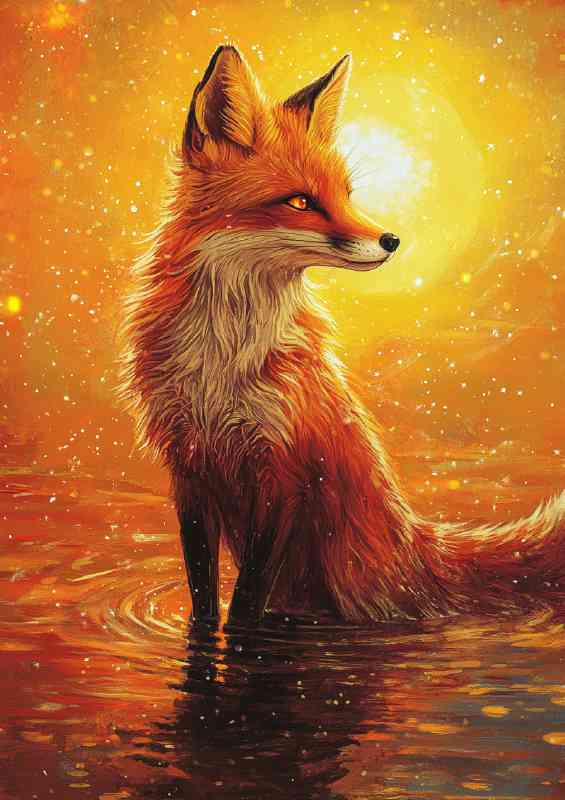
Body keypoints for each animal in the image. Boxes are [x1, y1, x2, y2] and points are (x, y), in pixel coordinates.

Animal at [120, 45, 565, 627]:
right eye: (300, 202)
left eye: (347, 195)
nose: (392, 239)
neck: (225, 357)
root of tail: (419, 547)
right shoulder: (188, 464)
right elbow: (204, 596)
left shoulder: (285, 470)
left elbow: (246, 602)